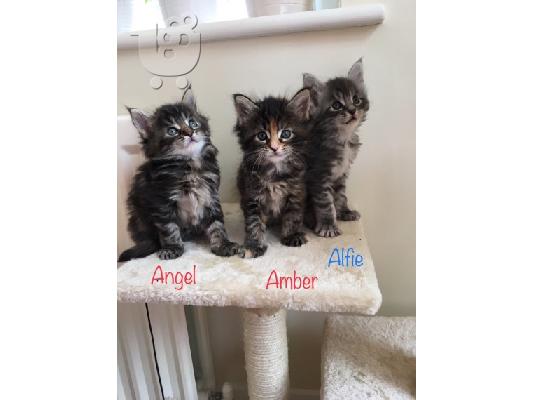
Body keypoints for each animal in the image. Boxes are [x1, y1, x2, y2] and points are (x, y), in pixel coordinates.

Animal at [120, 86, 242, 262]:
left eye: (192, 123)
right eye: (172, 131)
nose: (189, 132)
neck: (189, 165)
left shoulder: (210, 195)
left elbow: (217, 224)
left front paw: (222, 245)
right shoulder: (161, 202)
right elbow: (169, 228)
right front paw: (173, 248)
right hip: (139, 218)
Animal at [232, 88, 312, 258]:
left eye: (286, 134)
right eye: (262, 136)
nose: (274, 148)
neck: (275, 172)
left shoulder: (296, 191)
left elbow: (293, 215)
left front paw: (291, 235)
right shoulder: (251, 196)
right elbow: (254, 222)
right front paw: (254, 245)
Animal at [304, 58, 370, 238]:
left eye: (356, 99)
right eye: (336, 105)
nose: (352, 111)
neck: (343, 140)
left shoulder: (342, 173)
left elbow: (341, 195)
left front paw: (344, 212)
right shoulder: (319, 175)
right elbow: (326, 203)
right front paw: (328, 225)